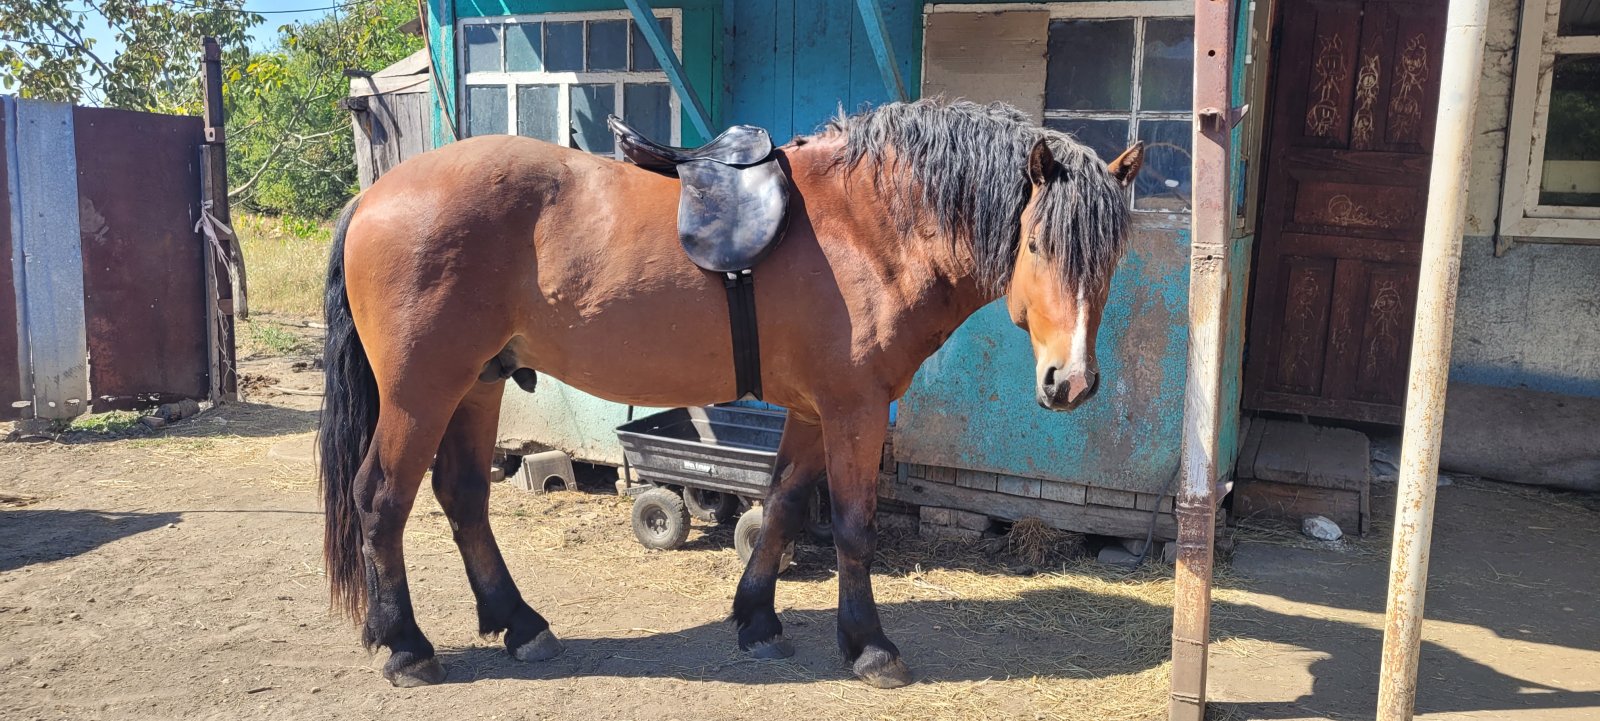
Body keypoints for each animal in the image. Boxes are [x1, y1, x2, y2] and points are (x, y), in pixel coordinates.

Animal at [319, 98, 1143, 689]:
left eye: (1111, 257)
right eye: (1037, 243)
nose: (1070, 382)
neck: (869, 226)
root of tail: (375, 196)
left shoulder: (812, 411)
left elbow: (780, 506)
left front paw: (757, 621)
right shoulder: (855, 409)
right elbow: (853, 528)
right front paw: (869, 646)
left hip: (477, 385)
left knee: (462, 495)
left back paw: (519, 625)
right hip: (422, 391)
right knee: (380, 497)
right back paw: (407, 646)